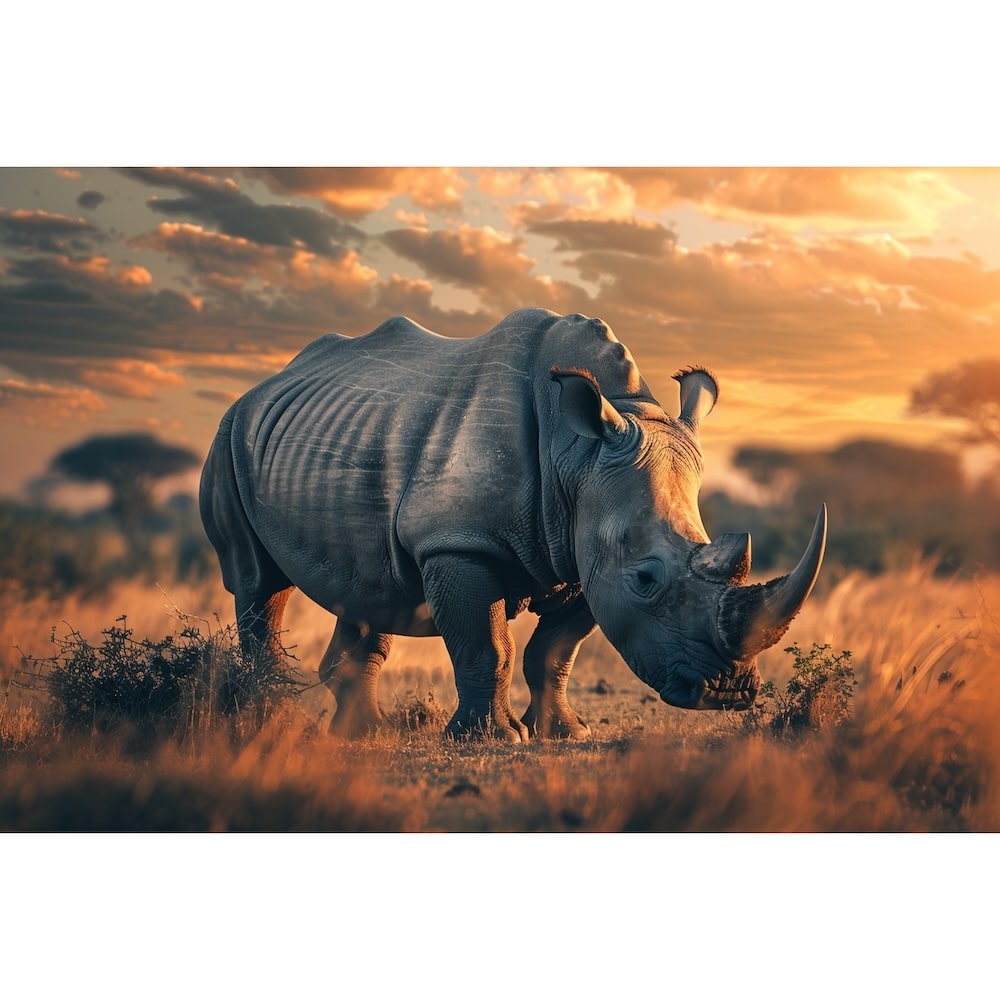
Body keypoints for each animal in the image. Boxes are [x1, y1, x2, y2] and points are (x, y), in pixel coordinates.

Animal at [200, 308, 826, 741]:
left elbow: (554, 652)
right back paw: (270, 720)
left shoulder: (584, 552)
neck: (577, 452)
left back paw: (364, 734)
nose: (727, 691)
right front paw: (492, 739)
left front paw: (565, 734)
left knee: (371, 587)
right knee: (257, 582)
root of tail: (266, 384)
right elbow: (487, 646)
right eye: (646, 579)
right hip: (229, 435)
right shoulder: (459, 543)